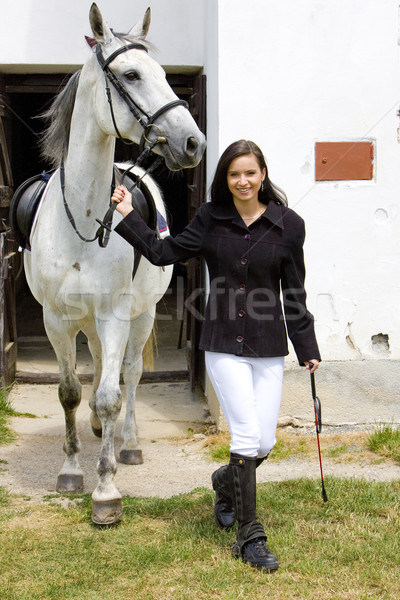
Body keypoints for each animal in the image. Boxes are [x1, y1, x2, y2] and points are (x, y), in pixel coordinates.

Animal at [24, 2, 206, 524]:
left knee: (129, 375)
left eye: (164, 74)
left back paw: (127, 442)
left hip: (138, 318)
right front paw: (70, 469)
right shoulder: (57, 319)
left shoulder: (114, 315)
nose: (194, 143)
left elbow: (110, 395)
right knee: (101, 365)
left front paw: (106, 489)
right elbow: (69, 391)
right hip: (87, 323)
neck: (84, 218)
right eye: (131, 74)